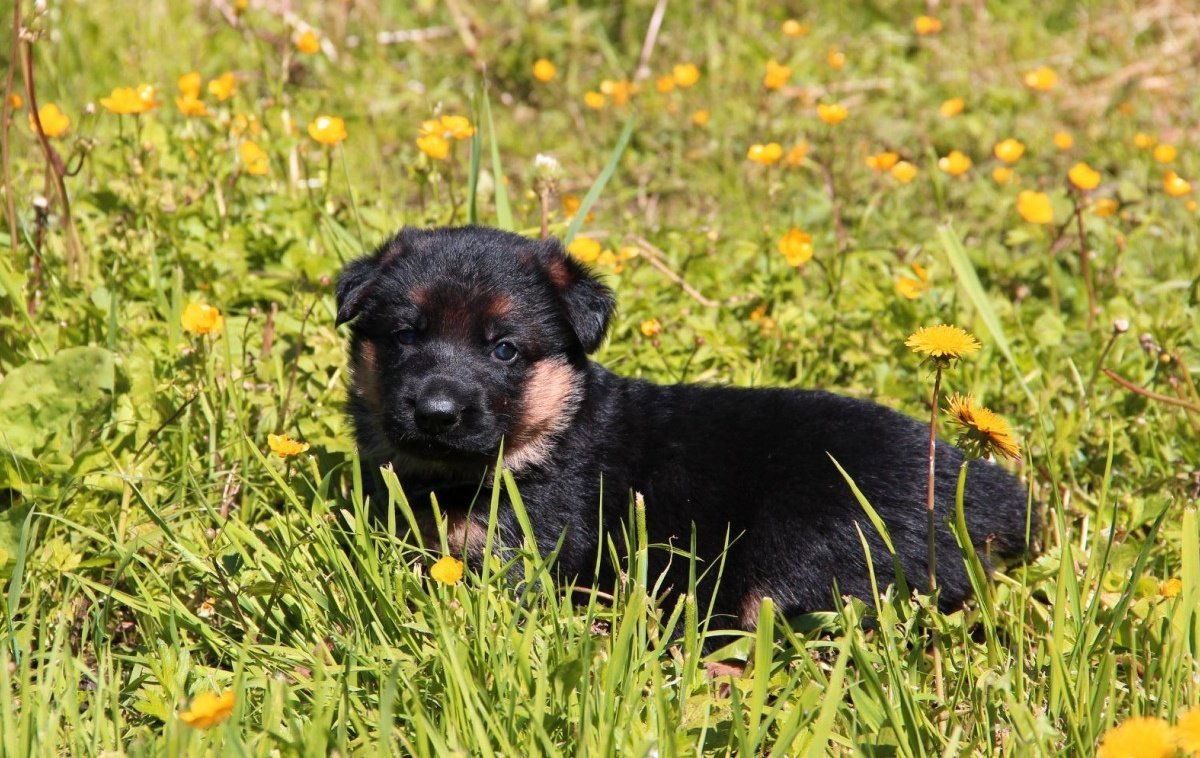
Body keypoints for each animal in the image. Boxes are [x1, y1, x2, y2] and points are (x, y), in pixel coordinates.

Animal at [333, 226, 1036, 638]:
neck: (553, 430)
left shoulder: (524, 546)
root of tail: (992, 493)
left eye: (504, 350)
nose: (437, 412)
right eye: (405, 335)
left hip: (812, 549)